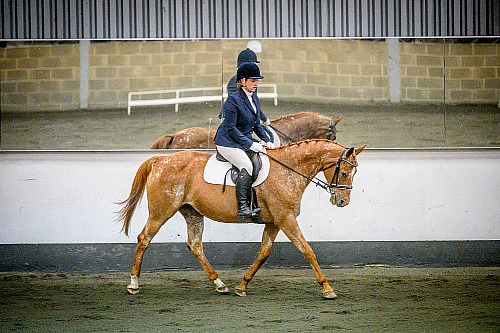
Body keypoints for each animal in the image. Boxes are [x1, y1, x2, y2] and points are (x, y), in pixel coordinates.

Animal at [118, 138, 366, 298]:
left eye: (354, 173)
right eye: (345, 172)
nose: (342, 201)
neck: (288, 170)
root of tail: (160, 160)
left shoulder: (274, 221)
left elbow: (264, 253)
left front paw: (242, 286)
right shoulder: (286, 219)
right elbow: (307, 250)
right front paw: (327, 288)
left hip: (192, 213)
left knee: (195, 245)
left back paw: (220, 284)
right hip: (161, 212)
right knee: (144, 239)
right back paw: (133, 284)